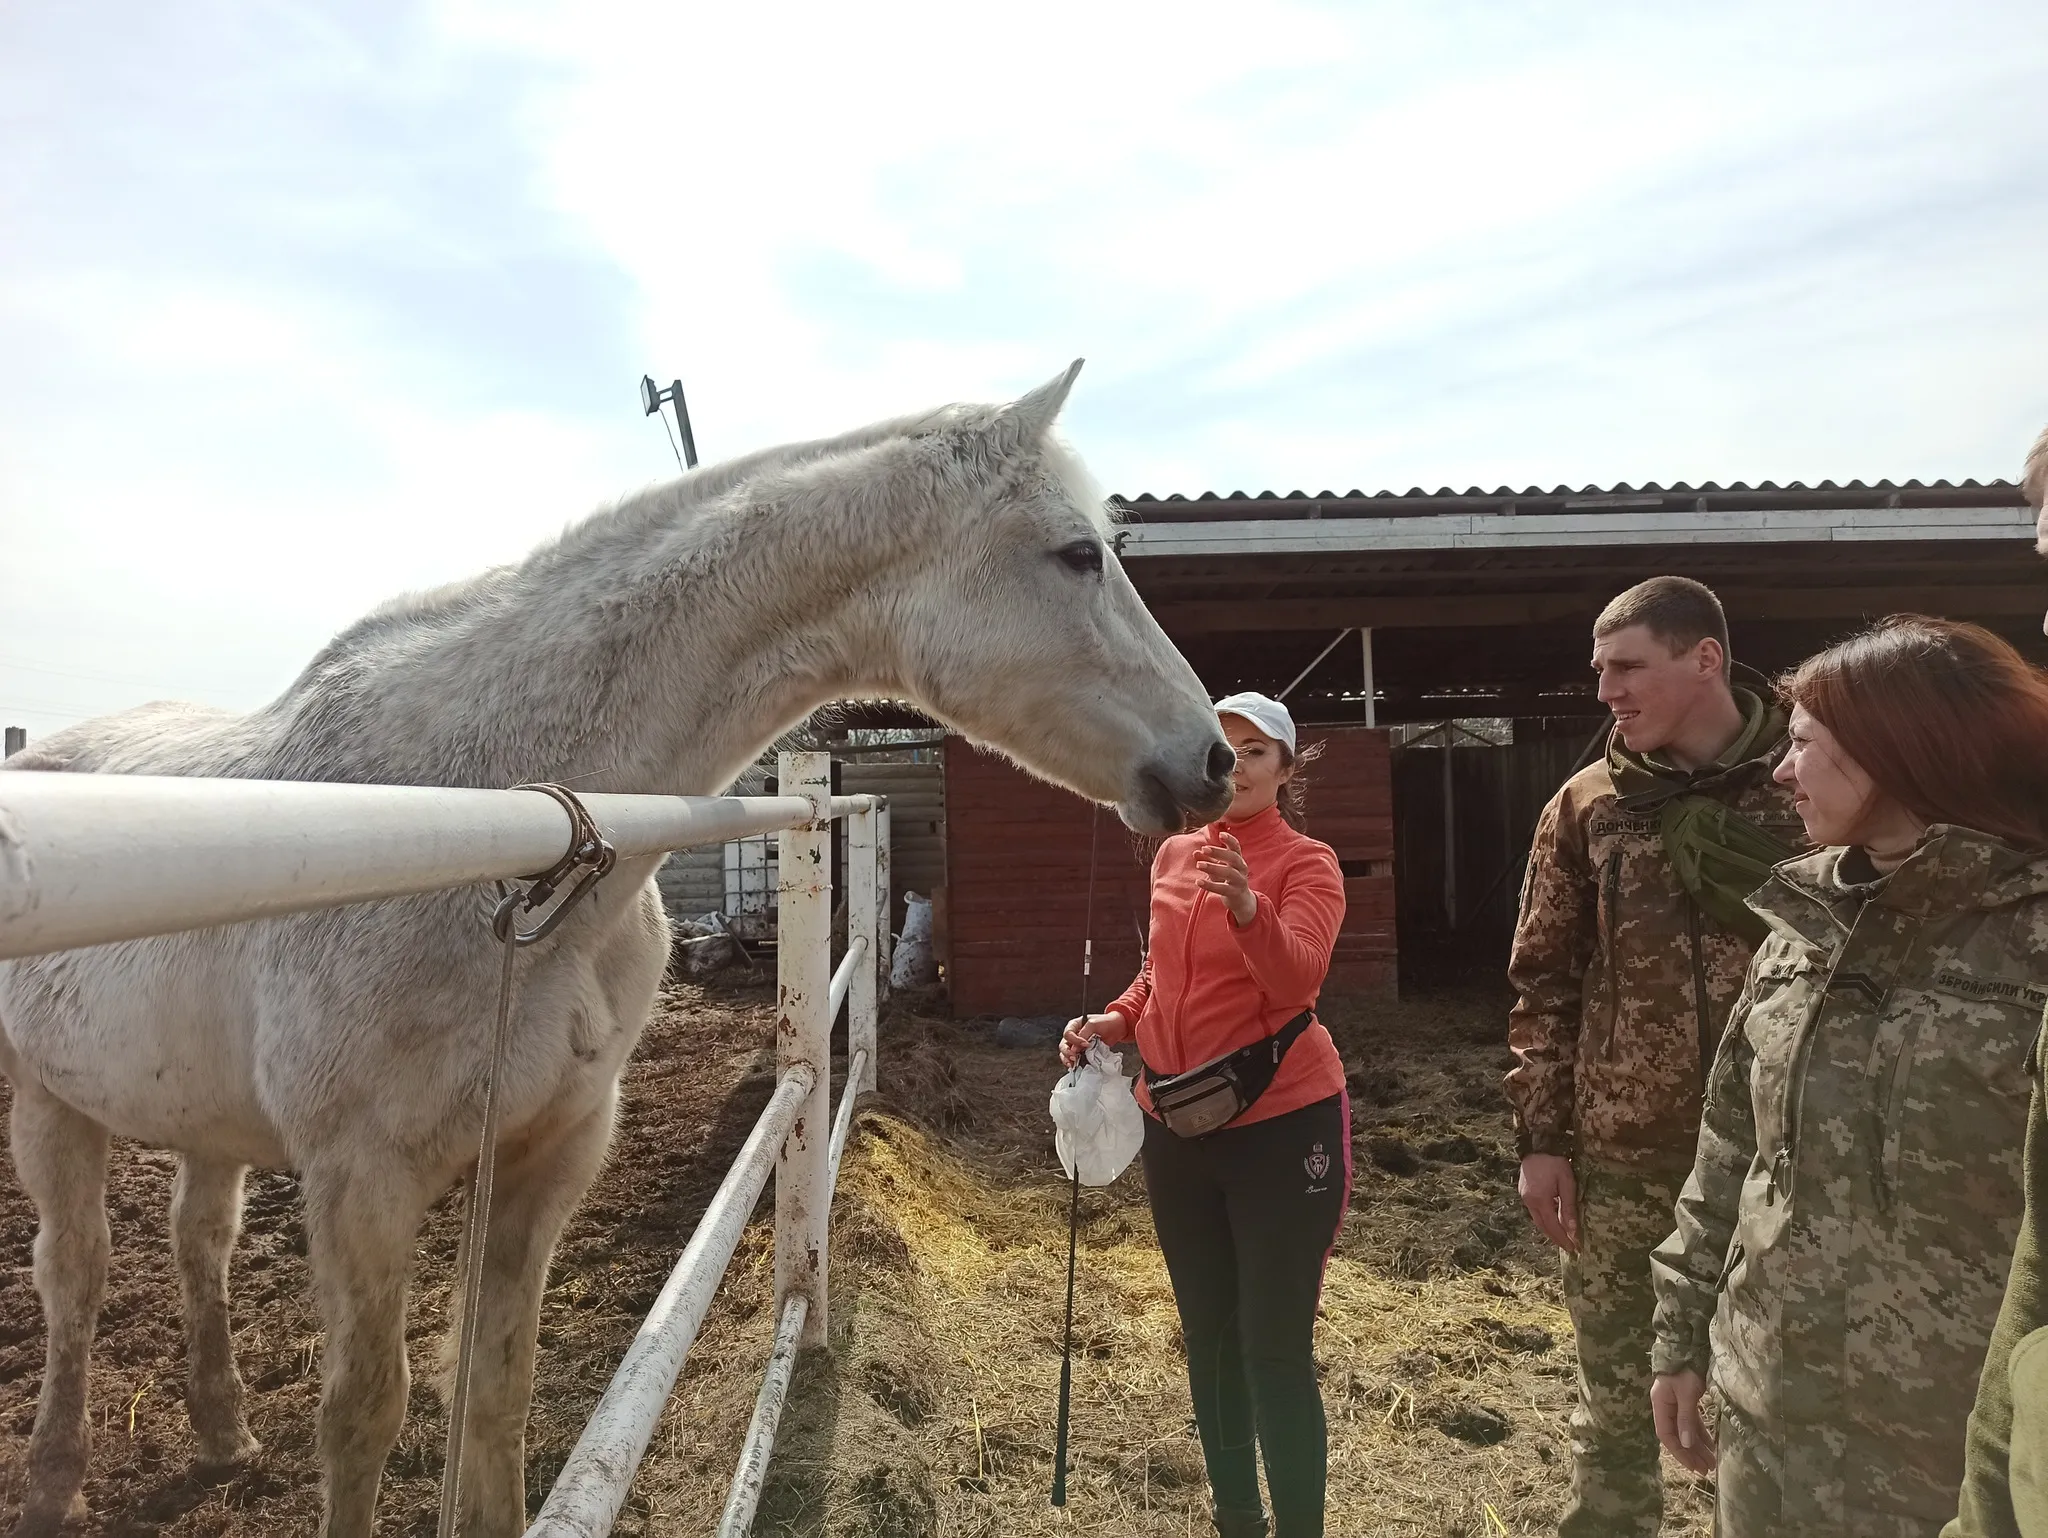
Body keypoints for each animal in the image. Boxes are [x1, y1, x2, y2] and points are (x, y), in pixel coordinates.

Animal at [0, 364, 1228, 1538]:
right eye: (1077, 554)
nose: (1212, 761)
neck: (500, 830)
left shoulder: (552, 1149)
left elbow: (496, 1383)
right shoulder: (362, 1181)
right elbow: (363, 1416)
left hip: (204, 1122)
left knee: (197, 1241)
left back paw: (221, 1433)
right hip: (49, 1101)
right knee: (75, 1274)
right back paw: (57, 1482)